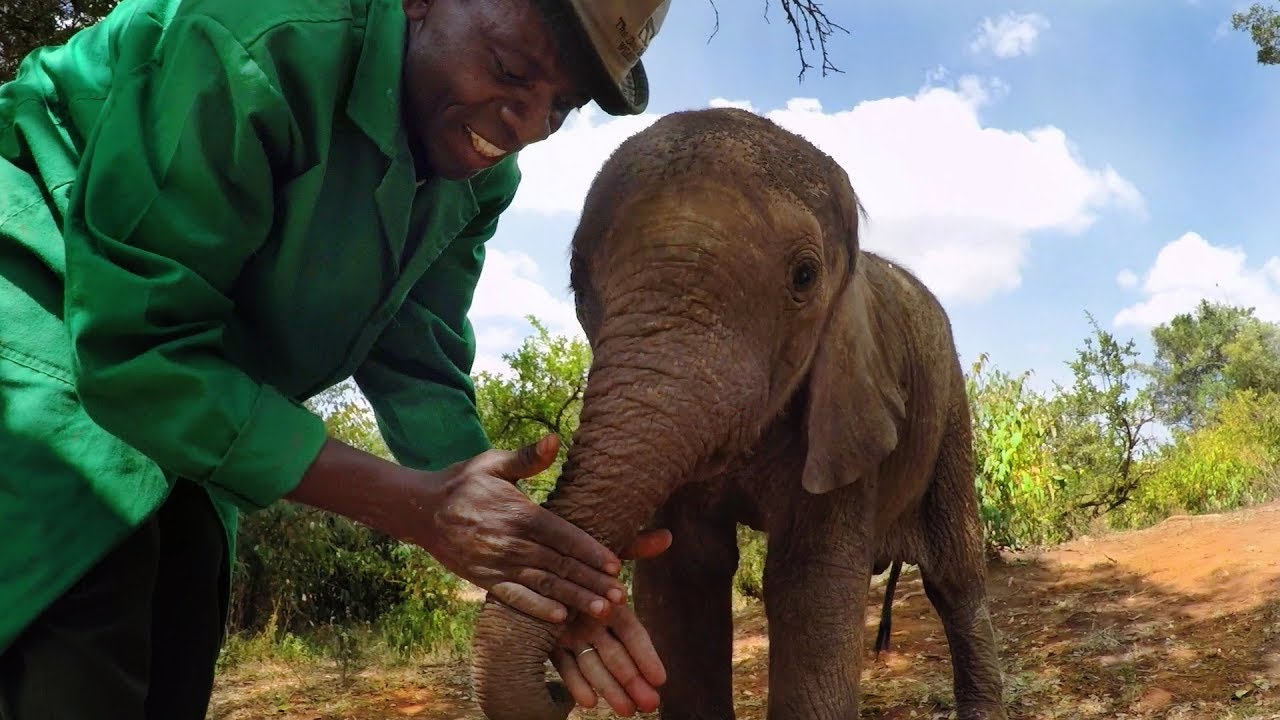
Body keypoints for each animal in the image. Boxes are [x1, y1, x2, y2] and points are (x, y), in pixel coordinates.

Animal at [471, 106, 1008, 717]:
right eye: (577, 286)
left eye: (805, 277)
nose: (560, 687)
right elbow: (684, 576)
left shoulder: (848, 413)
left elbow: (807, 586)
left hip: (952, 410)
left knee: (956, 578)